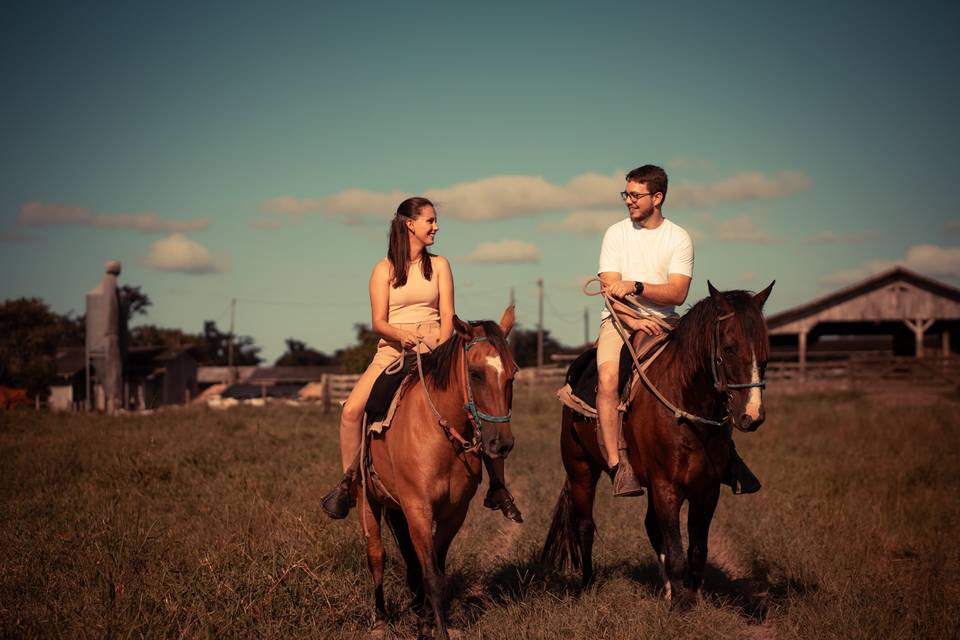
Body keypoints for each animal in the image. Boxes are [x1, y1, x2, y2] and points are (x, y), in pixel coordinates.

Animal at [356, 308, 516, 636]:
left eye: (512, 374)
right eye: (476, 373)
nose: (501, 443)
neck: (440, 434)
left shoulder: (453, 513)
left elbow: (436, 570)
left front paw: (427, 622)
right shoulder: (418, 508)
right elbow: (430, 573)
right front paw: (436, 630)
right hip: (369, 500)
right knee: (376, 554)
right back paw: (380, 620)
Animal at [544, 282, 776, 604]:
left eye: (766, 349)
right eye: (729, 347)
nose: (752, 415)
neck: (685, 405)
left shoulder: (706, 489)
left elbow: (696, 551)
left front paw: (692, 598)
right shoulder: (667, 486)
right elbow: (676, 551)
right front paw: (681, 605)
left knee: (651, 527)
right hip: (581, 470)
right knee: (585, 526)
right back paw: (587, 586)